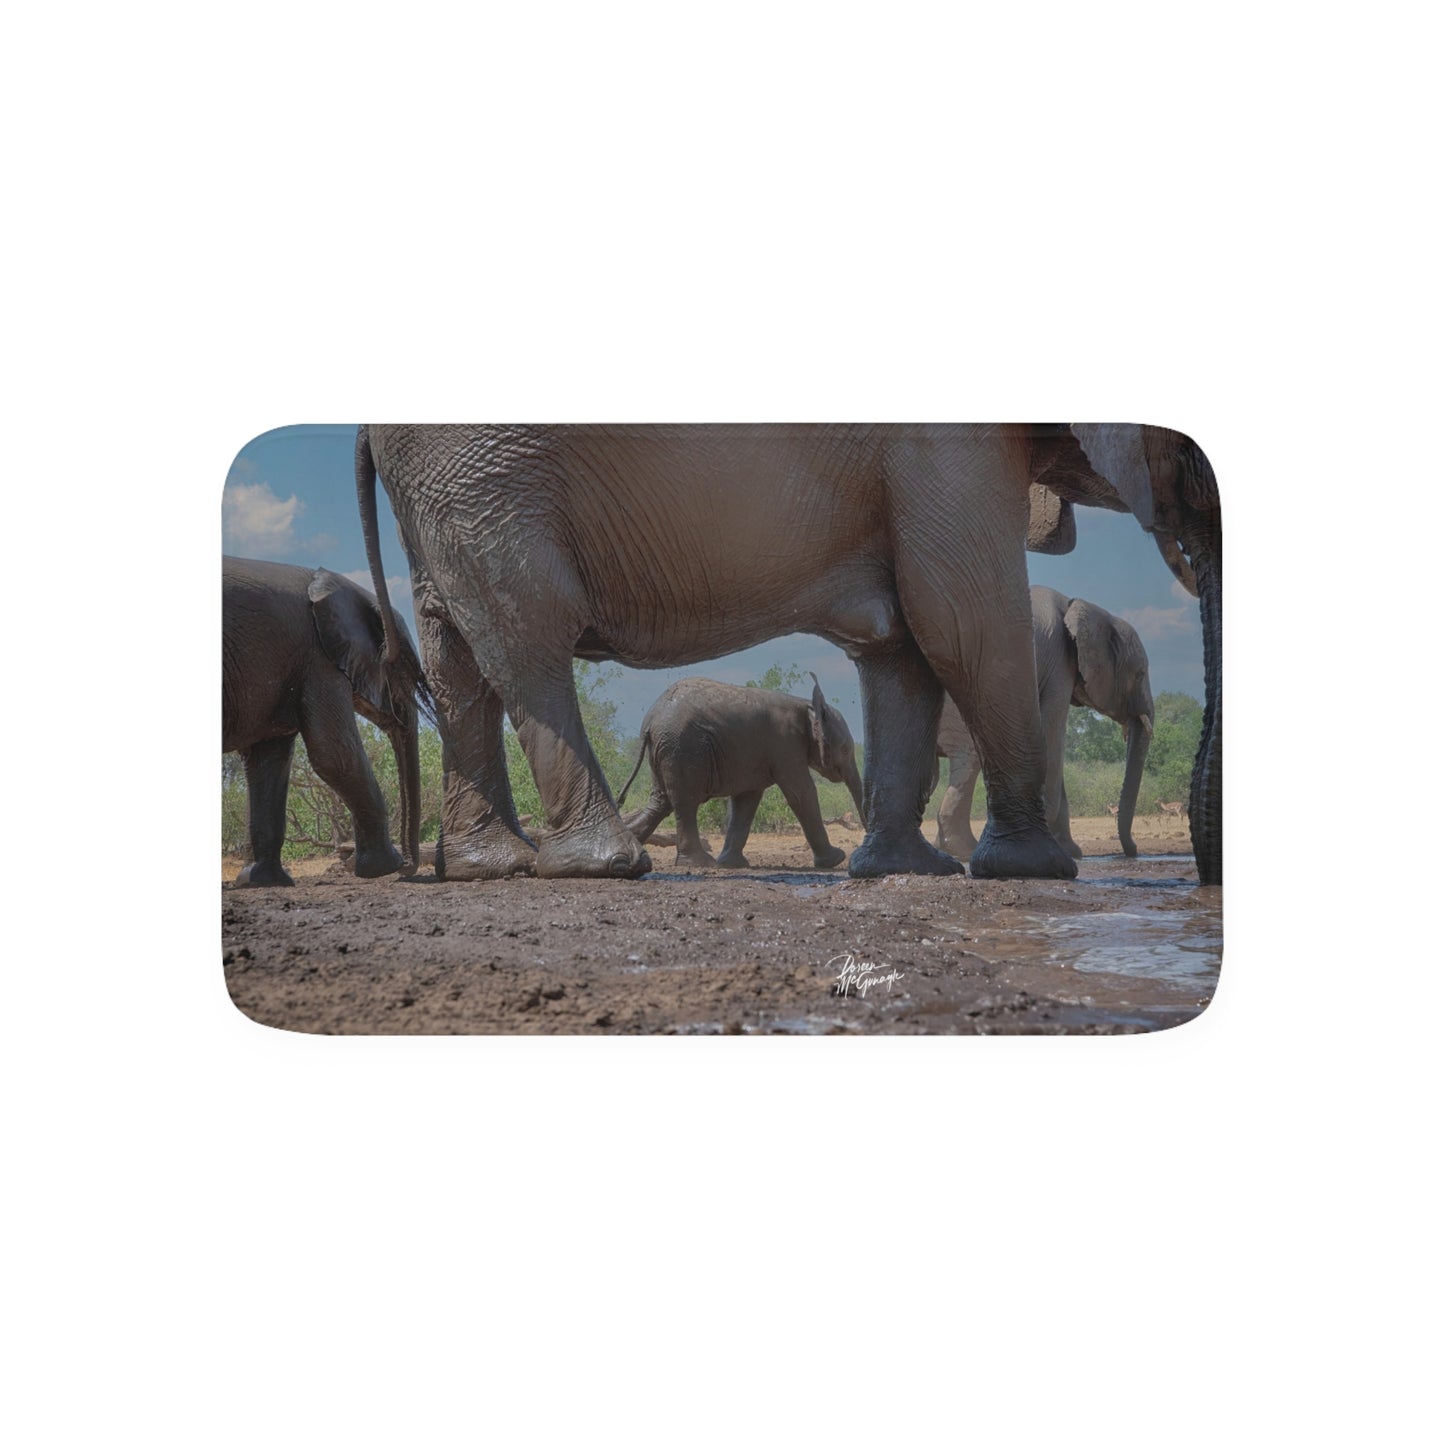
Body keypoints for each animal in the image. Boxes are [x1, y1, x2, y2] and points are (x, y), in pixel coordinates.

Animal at [222, 556, 431, 887]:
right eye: (408, 671)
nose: (409, 867)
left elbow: (267, 762)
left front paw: (263, 881)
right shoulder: (318, 658)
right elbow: (335, 755)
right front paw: (386, 866)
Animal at [616, 674, 866, 870]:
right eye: (845, 749)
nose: (858, 850)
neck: (808, 705)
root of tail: (651, 720)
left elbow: (746, 802)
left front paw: (733, 864)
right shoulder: (785, 745)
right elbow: (801, 794)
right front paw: (836, 860)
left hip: (665, 750)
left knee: (661, 803)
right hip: (681, 748)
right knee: (685, 802)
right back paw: (700, 863)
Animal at [934, 585, 1154, 862]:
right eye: (1140, 674)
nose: (1131, 852)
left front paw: (1070, 851)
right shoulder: (1059, 666)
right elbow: (1052, 736)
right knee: (969, 757)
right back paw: (965, 851)